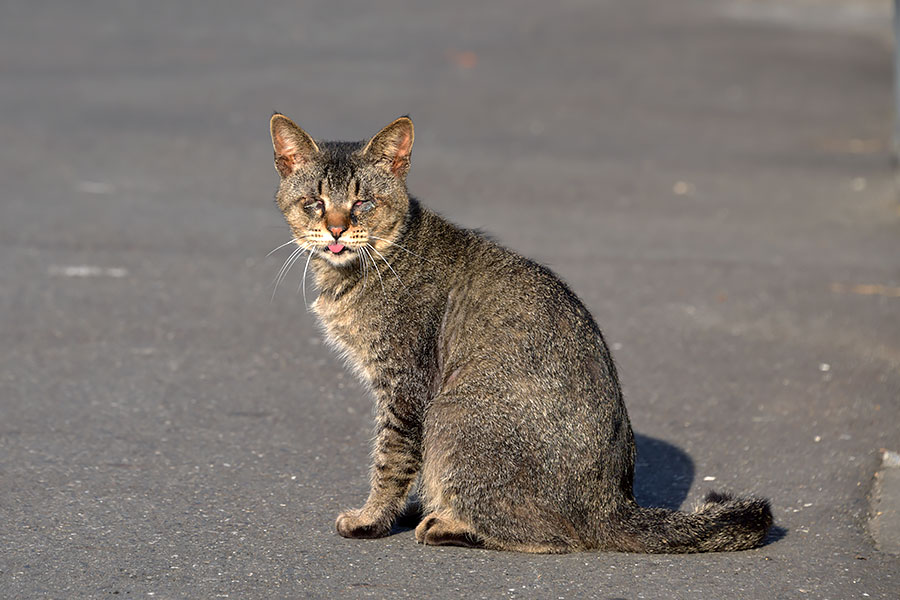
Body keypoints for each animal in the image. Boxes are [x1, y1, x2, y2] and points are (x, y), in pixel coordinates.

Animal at [268, 112, 772, 552]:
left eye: (363, 203)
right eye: (314, 203)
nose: (336, 229)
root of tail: (614, 503)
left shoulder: (405, 389)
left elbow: (389, 461)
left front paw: (371, 518)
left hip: (451, 414)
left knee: (551, 537)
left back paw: (447, 524)